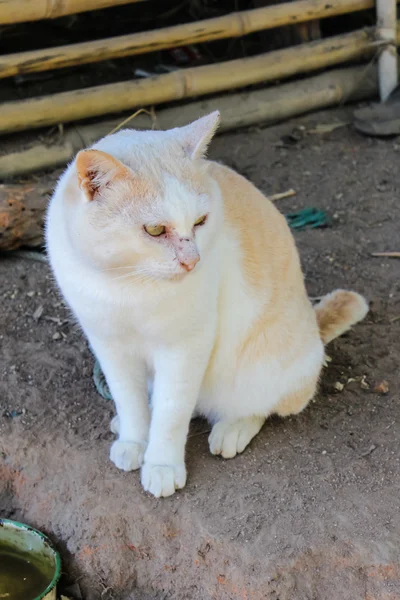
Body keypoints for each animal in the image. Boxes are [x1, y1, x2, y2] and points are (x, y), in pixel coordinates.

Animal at [45, 112, 368, 496]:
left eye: (200, 222)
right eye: (155, 230)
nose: (192, 261)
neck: (127, 283)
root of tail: (314, 329)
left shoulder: (186, 345)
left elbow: (171, 412)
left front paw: (161, 464)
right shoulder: (107, 343)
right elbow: (128, 397)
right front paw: (134, 439)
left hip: (268, 364)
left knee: (261, 404)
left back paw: (233, 429)